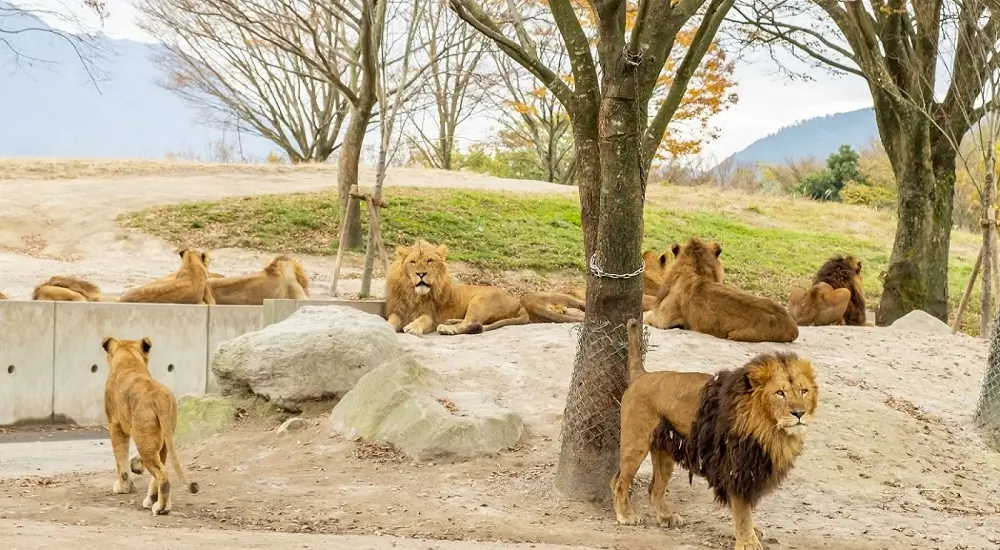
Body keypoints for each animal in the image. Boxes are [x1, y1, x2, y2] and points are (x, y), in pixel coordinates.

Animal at [103, 336, 201, 516]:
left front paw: (123, 487)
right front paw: (135, 466)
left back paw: (161, 507)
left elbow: (120, 459)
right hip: (163, 438)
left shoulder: (115, 425)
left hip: (145, 438)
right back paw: (153, 500)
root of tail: (160, 397)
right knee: (160, 468)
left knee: (162, 473)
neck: (129, 359)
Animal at [382, 240, 532, 336]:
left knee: (470, 322)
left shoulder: (433, 314)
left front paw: (413, 327)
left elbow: (424, 319)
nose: (421, 274)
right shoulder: (399, 310)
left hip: (480, 301)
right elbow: (392, 320)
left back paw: (447, 328)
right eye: (412, 262)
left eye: (430, 261)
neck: (414, 295)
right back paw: (451, 322)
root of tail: (519, 303)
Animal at [608, 320, 820, 550]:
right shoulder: (736, 466)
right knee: (618, 482)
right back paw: (626, 515)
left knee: (654, 488)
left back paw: (666, 516)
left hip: (665, 453)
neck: (770, 429)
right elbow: (742, 510)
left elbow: (745, 509)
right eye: (780, 393)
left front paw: (751, 533)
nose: (799, 413)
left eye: (804, 391)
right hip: (636, 444)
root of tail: (643, 375)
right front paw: (748, 542)